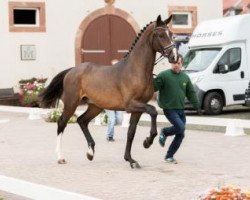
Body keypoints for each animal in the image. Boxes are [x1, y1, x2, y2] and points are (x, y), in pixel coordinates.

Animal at [39, 14, 178, 168]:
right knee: (61, 123)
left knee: (82, 121)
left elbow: (131, 132)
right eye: (160, 35)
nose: (174, 57)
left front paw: (130, 159)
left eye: (171, 34)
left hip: (95, 106)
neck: (136, 70)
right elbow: (153, 111)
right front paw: (147, 142)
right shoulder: (131, 105)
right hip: (71, 104)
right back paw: (60, 157)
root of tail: (71, 70)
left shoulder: (137, 109)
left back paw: (90, 152)